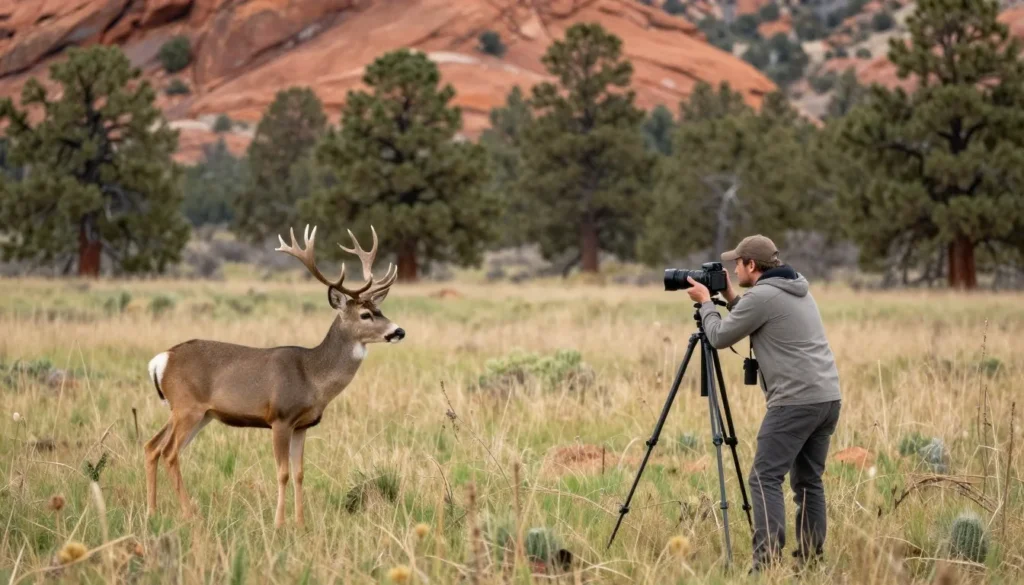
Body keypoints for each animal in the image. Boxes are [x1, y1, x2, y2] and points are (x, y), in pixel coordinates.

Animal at [144, 224, 404, 528]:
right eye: (365, 314)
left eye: (379, 310)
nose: (399, 331)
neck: (312, 376)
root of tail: (162, 359)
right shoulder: (280, 418)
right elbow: (283, 473)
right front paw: (279, 524)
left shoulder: (303, 425)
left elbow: (300, 473)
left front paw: (300, 523)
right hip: (187, 407)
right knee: (169, 452)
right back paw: (189, 514)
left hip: (194, 413)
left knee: (152, 446)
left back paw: (152, 511)